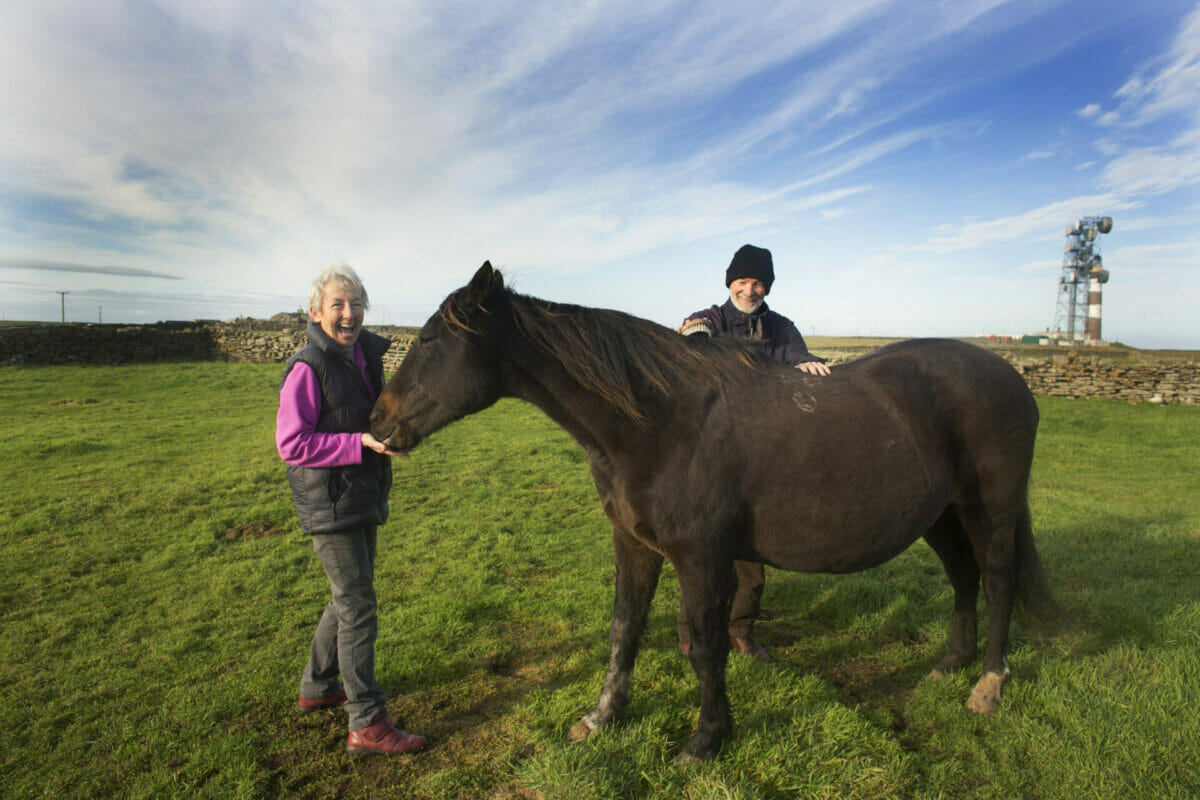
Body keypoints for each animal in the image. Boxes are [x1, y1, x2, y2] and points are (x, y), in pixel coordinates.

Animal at [369, 263, 1056, 762]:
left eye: (429, 339)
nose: (376, 421)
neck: (659, 421)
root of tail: (1008, 375)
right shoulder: (635, 546)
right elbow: (624, 630)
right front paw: (602, 716)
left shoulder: (701, 558)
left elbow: (705, 646)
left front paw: (706, 739)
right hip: (941, 516)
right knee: (964, 578)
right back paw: (950, 665)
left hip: (991, 510)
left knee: (998, 581)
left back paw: (988, 683)